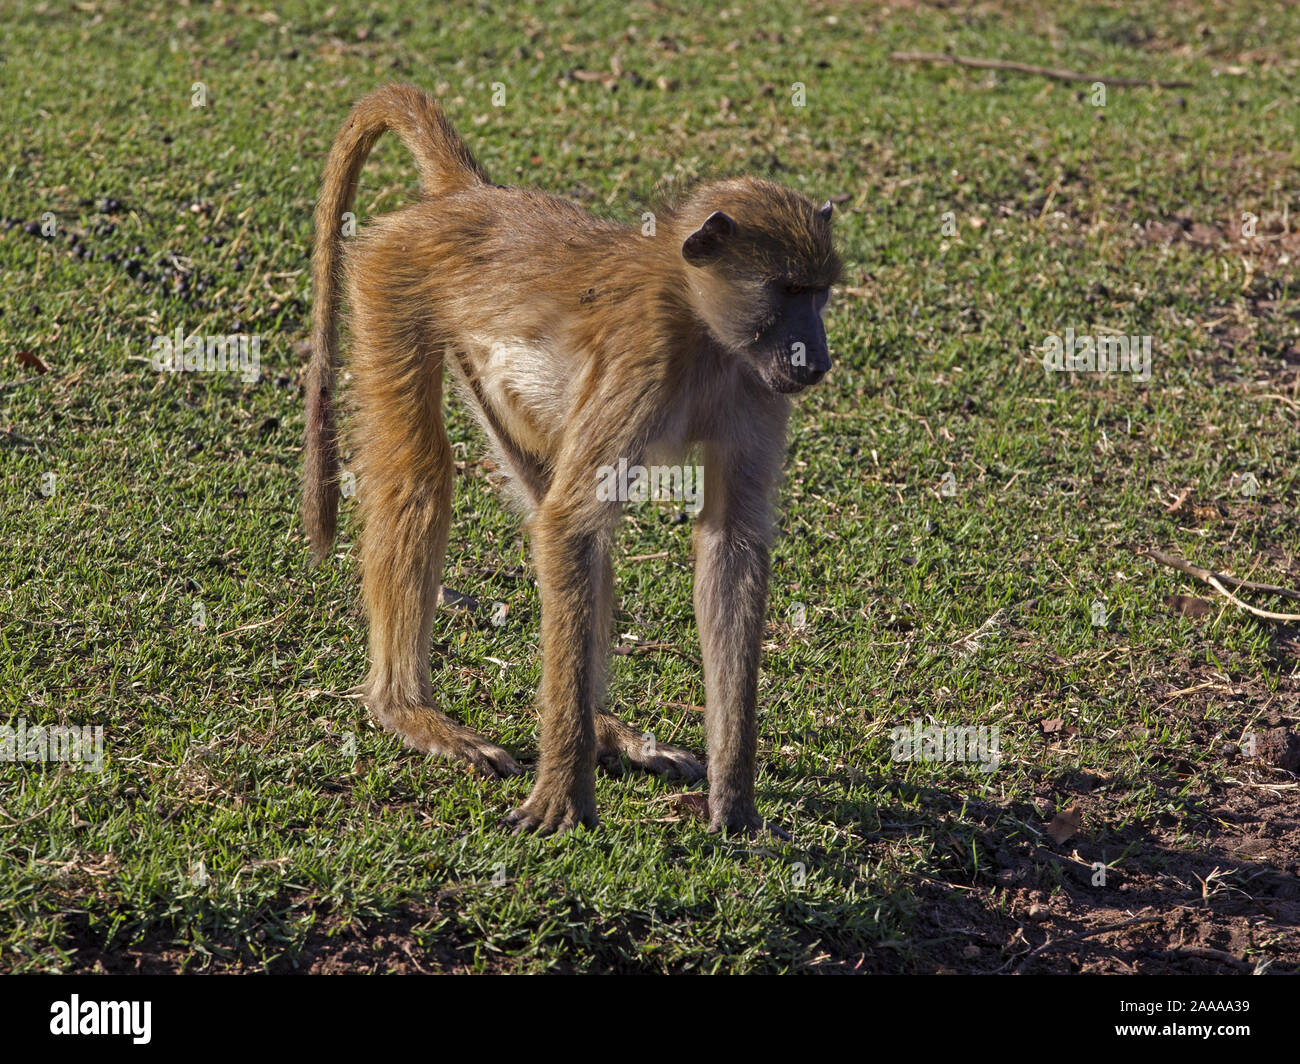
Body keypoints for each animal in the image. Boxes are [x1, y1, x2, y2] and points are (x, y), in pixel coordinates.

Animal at [302, 84, 841, 836]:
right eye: (785, 291)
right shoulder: (643, 358)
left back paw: (607, 728)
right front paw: (563, 793)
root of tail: (472, 198)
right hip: (392, 281)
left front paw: (734, 797)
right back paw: (408, 710)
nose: (815, 360)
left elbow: (726, 544)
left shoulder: (757, 390)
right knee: (425, 472)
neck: (700, 326)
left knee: (552, 515)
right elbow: (572, 523)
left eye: (818, 293)